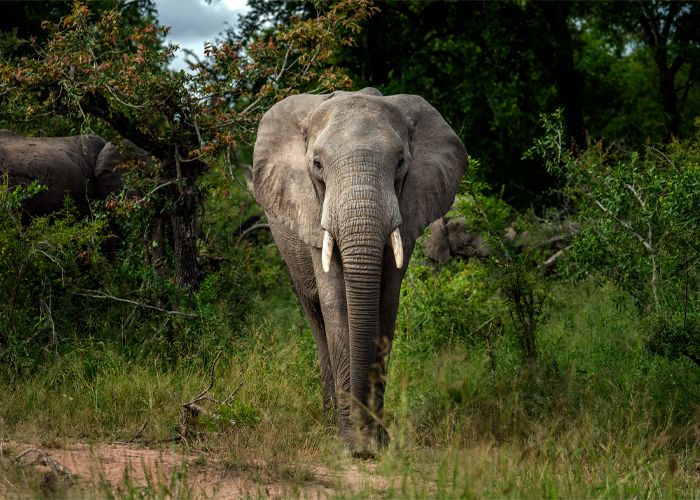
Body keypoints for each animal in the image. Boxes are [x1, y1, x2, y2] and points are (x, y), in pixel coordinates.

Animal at [253, 87, 469, 454]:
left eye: (400, 163)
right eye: (317, 165)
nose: (361, 441)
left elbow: (386, 303)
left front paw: (376, 443)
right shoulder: (312, 212)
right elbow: (336, 304)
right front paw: (350, 445)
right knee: (315, 316)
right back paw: (328, 419)